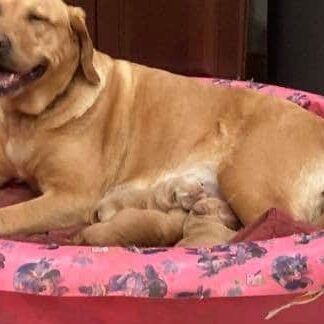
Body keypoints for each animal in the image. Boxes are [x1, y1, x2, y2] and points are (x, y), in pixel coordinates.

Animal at [0, 0, 324, 246]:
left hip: (248, 182)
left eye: (37, 18)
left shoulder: (72, 197)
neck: (29, 117)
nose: (0, 41)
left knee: (277, 224)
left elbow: (10, 215)